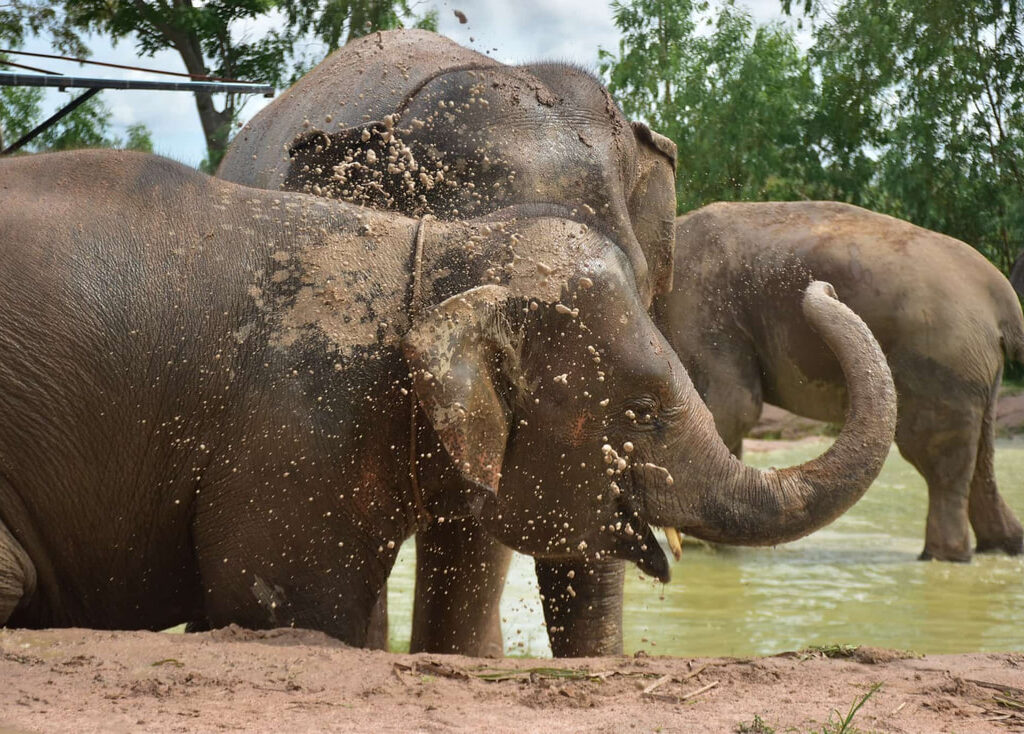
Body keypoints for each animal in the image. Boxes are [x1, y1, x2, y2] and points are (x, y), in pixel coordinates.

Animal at [657, 201, 1024, 562]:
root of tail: (1003, 299)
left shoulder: (700, 305)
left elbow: (734, 407)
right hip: (973, 370)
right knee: (980, 455)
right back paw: (1004, 545)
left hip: (941, 361)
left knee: (935, 455)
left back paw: (943, 556)